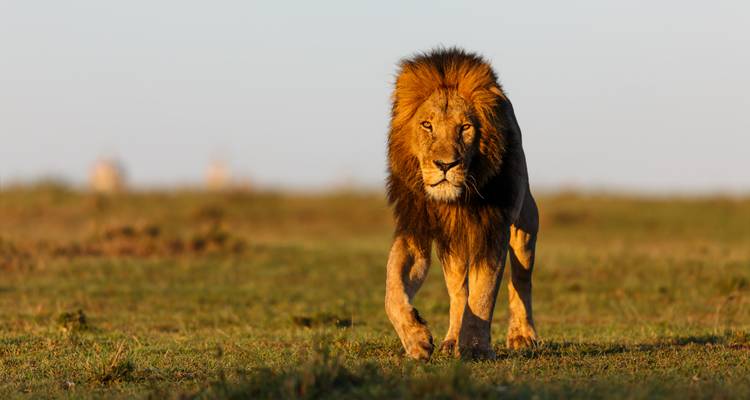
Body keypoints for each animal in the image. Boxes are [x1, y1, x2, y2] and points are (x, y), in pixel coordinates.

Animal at [385, 48, 539, 360]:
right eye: (427, 125)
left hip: (526, 220)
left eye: (465, 127)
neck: (454, 200)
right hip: (452, 245)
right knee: (458, 291)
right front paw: (417, 338)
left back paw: (522, 335)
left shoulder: (494, 228)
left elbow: (484, 293)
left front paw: (476, 347)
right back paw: (452, 339)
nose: (446, 165)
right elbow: (392, 288)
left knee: (522, 276)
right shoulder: (415, 228)